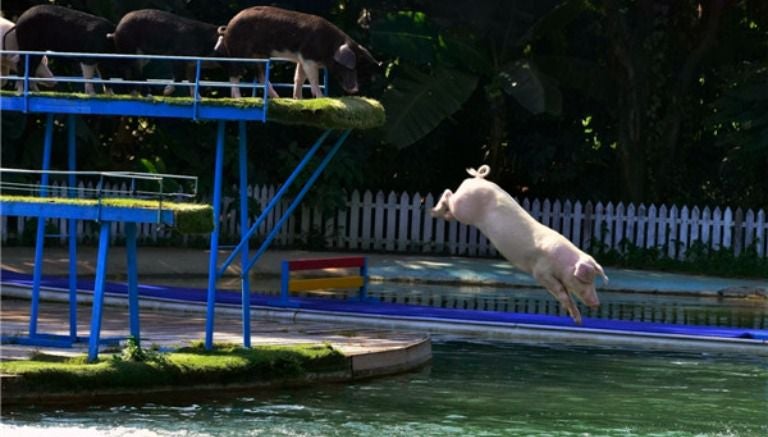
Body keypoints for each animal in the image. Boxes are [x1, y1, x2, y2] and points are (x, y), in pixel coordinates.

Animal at [216, 5, 378, 98]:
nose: (355, 90)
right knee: (234, 74)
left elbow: (299, 78)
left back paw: (278, 98)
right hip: (238, 51)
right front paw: (322, 98)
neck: (330, 47)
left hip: (260, 56)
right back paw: (238, 98)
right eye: (350, 68)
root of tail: (228, 26)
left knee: (261, 77)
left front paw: (298, 99)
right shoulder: (308, 57)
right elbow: (313, 79)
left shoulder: (301, 59)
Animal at [432, 165, 608, 322]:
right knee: (448, 194)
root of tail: (476, 180)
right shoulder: (541, 271)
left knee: (450, 207)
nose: (597, 304)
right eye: (584, 280)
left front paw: (577, 320)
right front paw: (578, 320)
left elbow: (565, 295)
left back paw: (442, 214)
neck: (562, 263)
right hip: (463, 208)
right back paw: (433, 211)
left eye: (593, 280)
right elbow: (561, 292)